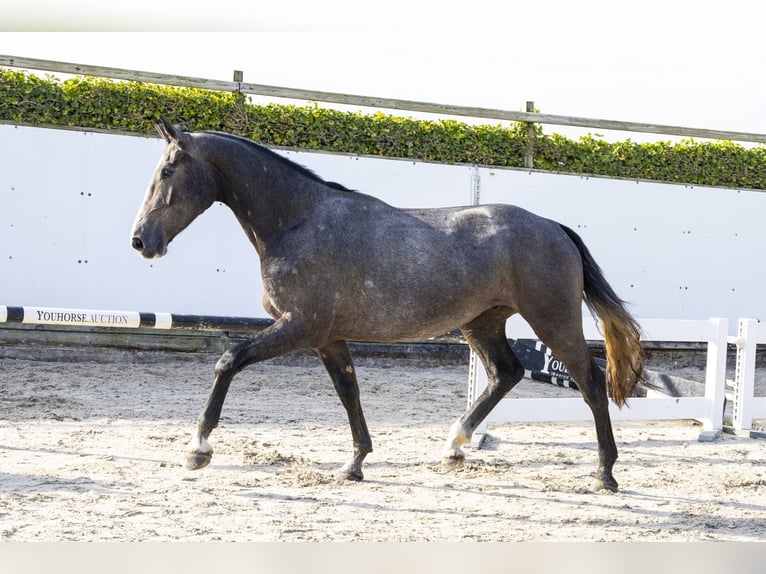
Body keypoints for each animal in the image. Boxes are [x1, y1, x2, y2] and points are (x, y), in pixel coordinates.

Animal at [134, 119, 648, 492]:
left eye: (167, 172)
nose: (141, 240)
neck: (298, 221)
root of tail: (554, 227)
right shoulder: (327, 337)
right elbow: (349, 392)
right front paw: (354, 463)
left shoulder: (299, 326)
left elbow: (228, 360)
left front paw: (198, 449)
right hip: (481, 324)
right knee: (507, 373)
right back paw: (454, 446)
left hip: (552, 320)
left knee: (591, 382)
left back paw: (604, 474)